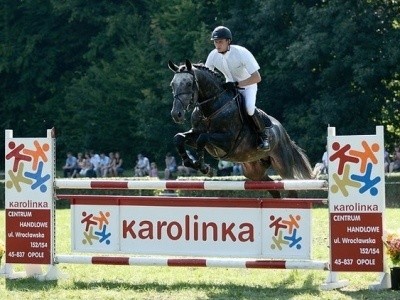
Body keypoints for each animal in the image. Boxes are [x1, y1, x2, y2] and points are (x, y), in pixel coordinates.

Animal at [167, 59, 314, 198]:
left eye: (188, 83)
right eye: (172, 84)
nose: (176, 114)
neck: (210, 110)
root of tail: (283, 132)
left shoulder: (227, 141)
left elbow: (202, 139)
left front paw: (204, 167)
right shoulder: (197, 135)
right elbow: (178, 138)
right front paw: (189, 162)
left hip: (282, 165)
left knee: (290, 187)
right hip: (253, 169)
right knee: (272, 187)